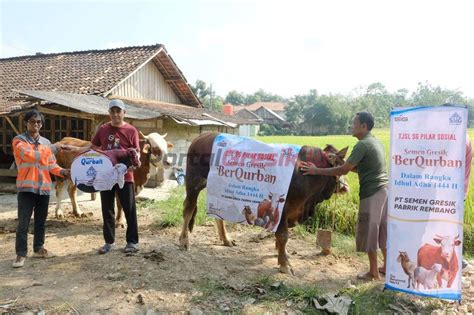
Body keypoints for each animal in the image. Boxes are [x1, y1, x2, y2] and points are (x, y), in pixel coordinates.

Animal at [178, 132, 348, 276]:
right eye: (340, 165)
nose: (346, 187)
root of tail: (202, 136)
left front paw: (283, 254)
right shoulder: (285, 210)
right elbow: (283, 235)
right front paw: (285, 264)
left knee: (217, 214)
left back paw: (226, 239)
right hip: (193, 183)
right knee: (188, 209)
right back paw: (184, 241)